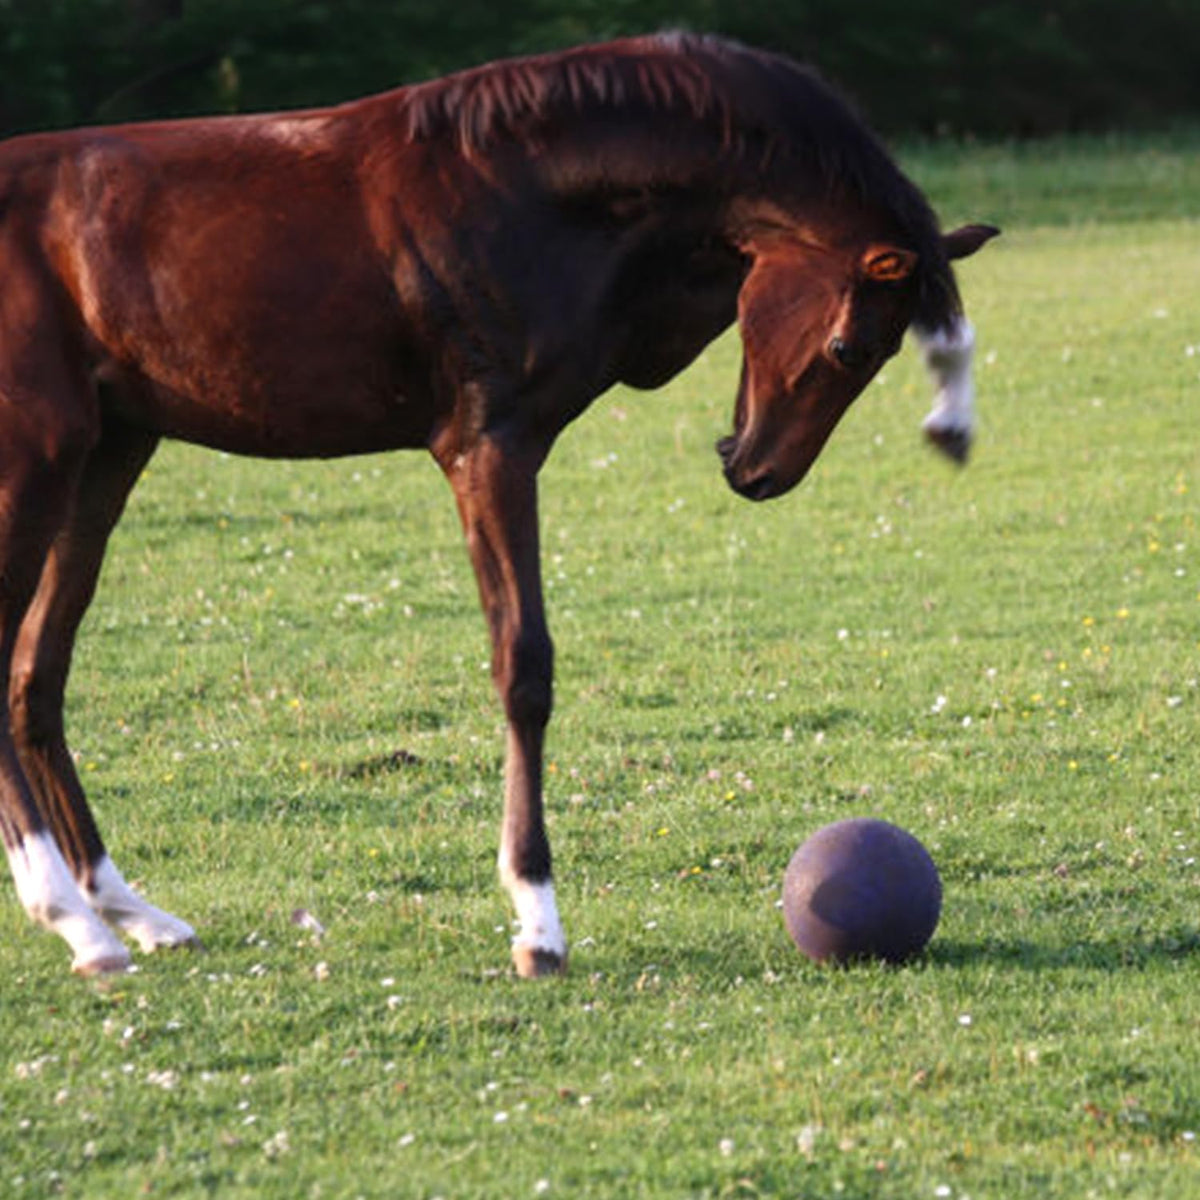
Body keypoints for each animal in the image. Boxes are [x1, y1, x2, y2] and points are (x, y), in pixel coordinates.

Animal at [0, 32, 996, 978]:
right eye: (846, 346)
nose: (758, 470)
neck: (530, 193)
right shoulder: (490, 450)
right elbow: (524, 666)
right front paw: (537, 921)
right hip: (39, 459)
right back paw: (74, 922)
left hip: (108, 457)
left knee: (36, 677)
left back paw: (129, 912)